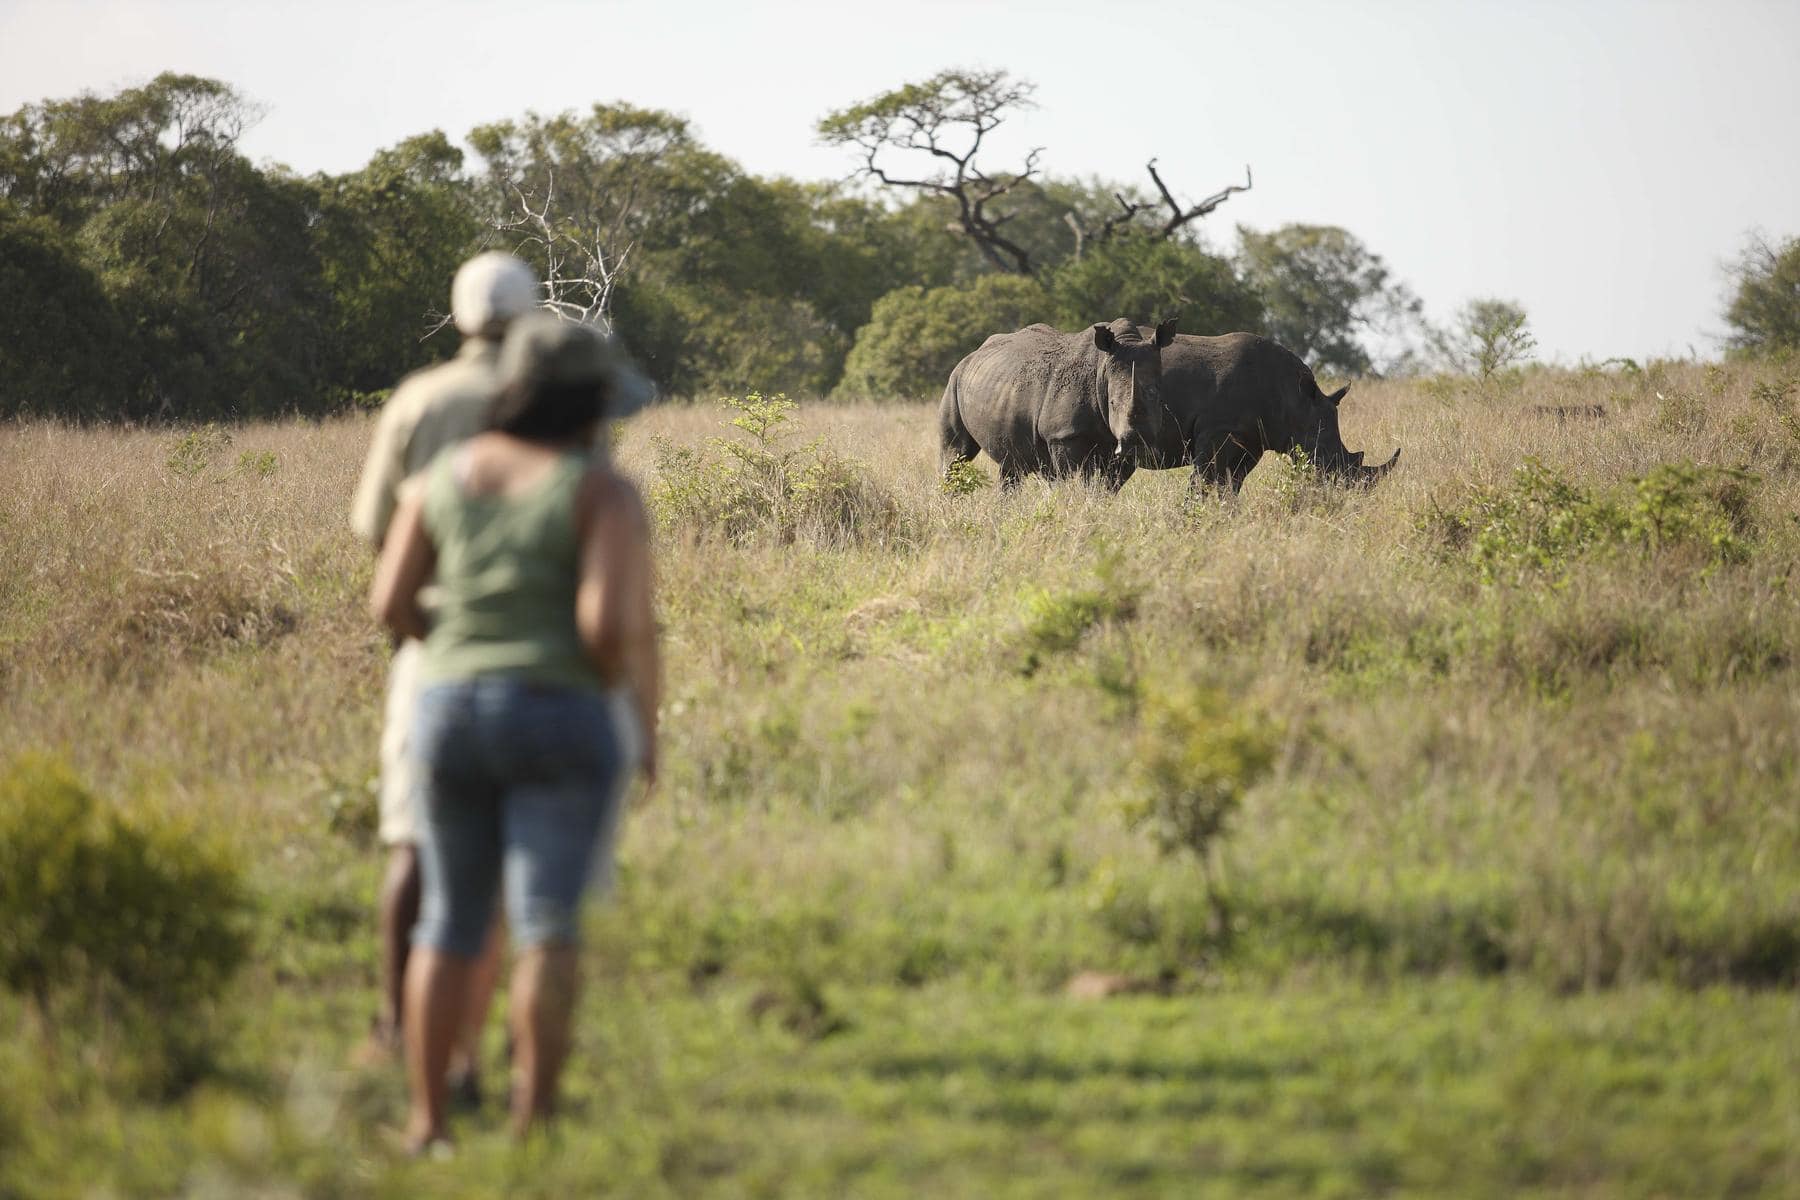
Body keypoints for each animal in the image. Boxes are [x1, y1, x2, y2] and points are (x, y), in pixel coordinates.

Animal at [938, 317, 1179, 488]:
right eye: (1111, 403)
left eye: (1158, 398)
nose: (1138, 445)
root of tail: (972, 354)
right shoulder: (1063, 435)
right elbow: (1074, 481)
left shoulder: (1117, 445)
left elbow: (1102, 487)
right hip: (954, 382)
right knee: (956, 453)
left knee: (1011, 464)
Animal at [1136, 332, 1400, 491]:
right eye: (1323, 453)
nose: (1349, 493)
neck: (1294, 398)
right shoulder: (1215, 433)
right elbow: (1201, 482)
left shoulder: (1253, 442)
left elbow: (1230, 486)